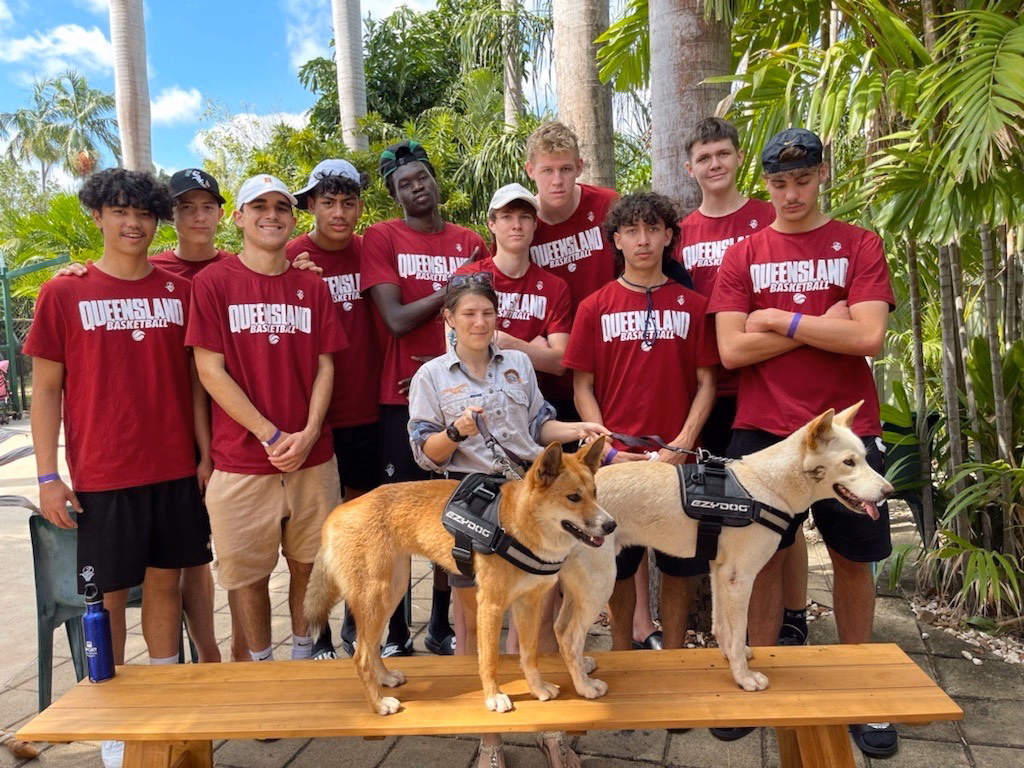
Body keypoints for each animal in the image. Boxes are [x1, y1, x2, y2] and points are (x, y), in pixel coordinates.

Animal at [305, 438, 615, 715]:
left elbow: (530, 655)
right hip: (376, 598)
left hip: (390, 594)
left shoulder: (529, 604)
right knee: (362, 657)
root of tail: (339, 510)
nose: (610, 525)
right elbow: (489, 659)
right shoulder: (490, 605)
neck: (516, 526)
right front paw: (494, 696)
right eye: (573, 497)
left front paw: (537, 689)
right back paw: (379, 704)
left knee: (370, 648)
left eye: (595, 492)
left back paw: (385, 679)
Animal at [553, 402, 894, 694]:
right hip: (601, 582)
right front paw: (744, 678)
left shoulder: (720, 572)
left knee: (560, 628)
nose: (889, 491)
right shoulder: (740, 577)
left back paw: (581, 667)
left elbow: (724, 627)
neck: (765, 486)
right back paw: (585, 688)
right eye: (848, 462)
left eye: (864, 458)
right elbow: (739, 627)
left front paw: (732, 657)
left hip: (579, 586)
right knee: (570, 636)